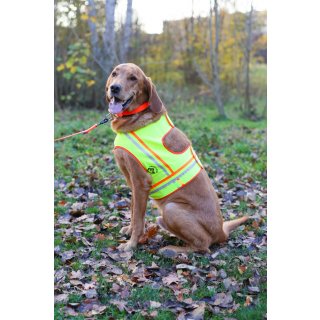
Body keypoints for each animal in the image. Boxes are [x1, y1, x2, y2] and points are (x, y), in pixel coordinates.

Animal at [106, 62, 249, 252]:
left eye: (133, 78)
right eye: (114, 74)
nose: (114, 88)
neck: (135, 119)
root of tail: (222, 232)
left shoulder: (141, 182)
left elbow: (138, 219)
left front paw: (131, 244)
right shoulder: (131, 181)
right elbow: (133, 209)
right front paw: (129, 231)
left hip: (171, 208)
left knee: (203, 246)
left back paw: (172, 250)